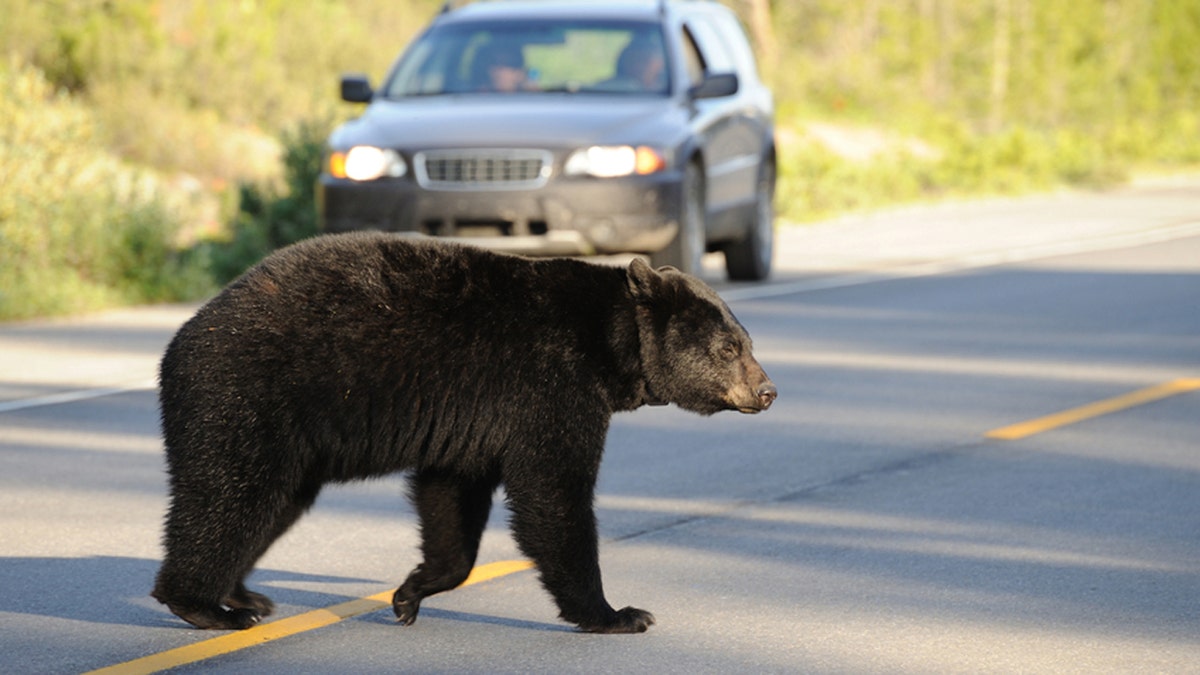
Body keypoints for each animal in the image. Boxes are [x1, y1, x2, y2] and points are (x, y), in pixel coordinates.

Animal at [152, 230, 777, 629]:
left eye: (745, 341)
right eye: (730, 348)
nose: (768, 390)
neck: (608, 342)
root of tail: (178, 344)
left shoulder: (474, 416)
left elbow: (452, 496)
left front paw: (410, 593)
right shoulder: (549, 384)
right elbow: (553, 491)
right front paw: (616, 613)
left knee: (270, 505)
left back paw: (244, 595)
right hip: (246, 400)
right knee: (229, 498)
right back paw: (204, 605)